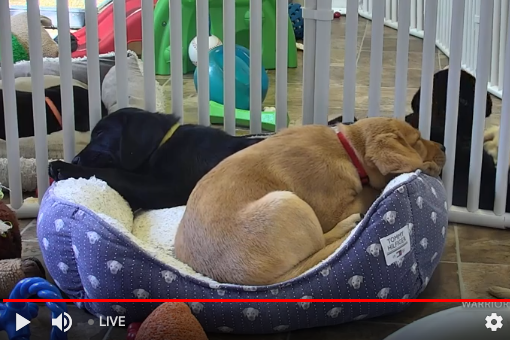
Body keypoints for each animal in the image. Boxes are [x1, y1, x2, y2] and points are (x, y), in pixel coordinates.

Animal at [48, 109, 266, 210]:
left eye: (101, 134)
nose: (74, 159)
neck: (162, 143)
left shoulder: (166, 187)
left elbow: (115, 174)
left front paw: (62, 167)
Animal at [175, 118, 446, 286]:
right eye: (418, 140)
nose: (444, 146)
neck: (347, 148)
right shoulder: (336, 207)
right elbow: (369, 191)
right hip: (289, 202)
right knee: (320, 244)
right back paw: (348, 226)